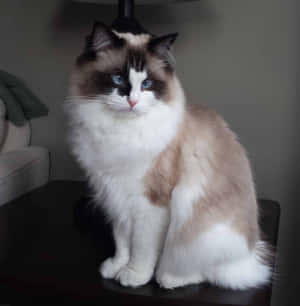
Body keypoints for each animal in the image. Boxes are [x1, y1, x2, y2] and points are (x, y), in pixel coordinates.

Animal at [66, 21, 272, 290]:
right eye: (118, 78)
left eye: (147, 84)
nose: (132, 101)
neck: (119, 132)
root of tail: (250, 256)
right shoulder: (116, 197)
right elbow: (122, 242)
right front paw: (116, 267)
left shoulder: (150, 203)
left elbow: (141, 249)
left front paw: (134, 276)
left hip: (196, 227)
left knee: (205, 272)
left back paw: (168, 278)